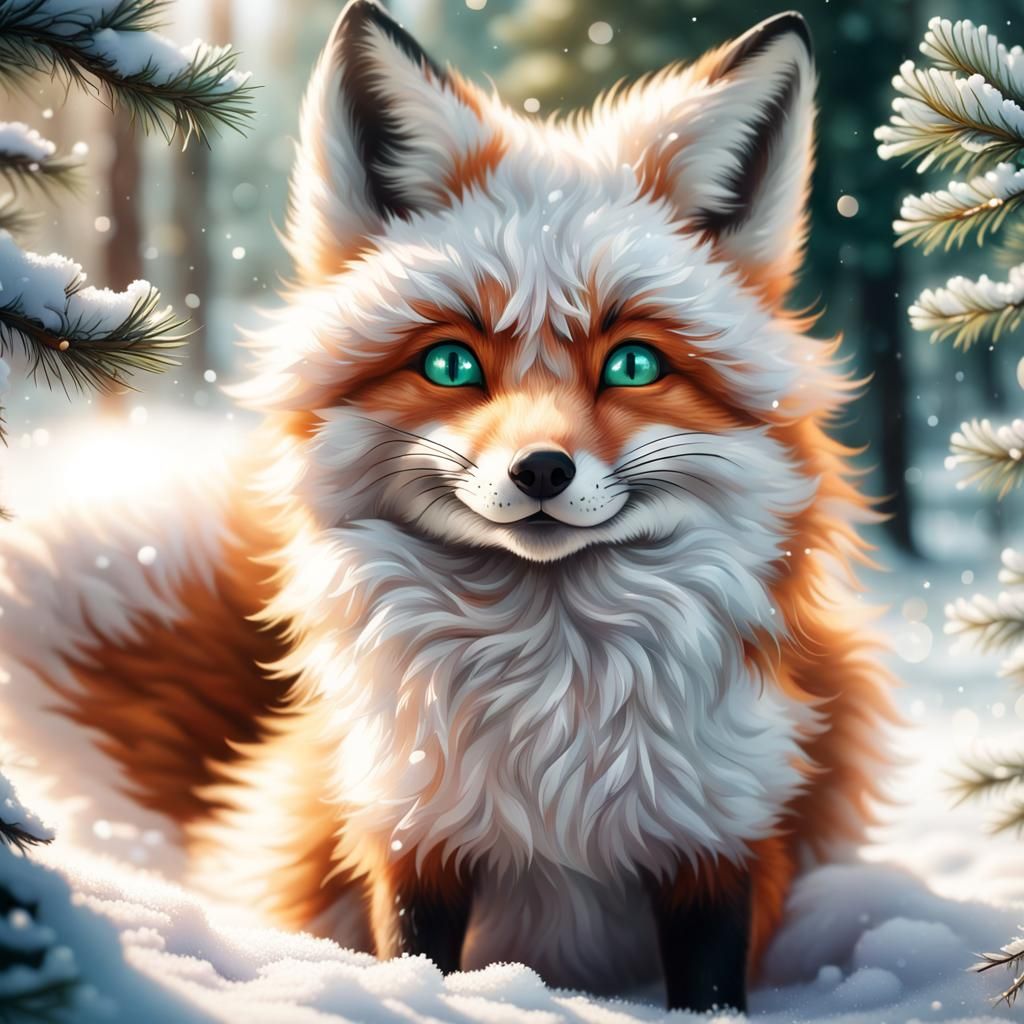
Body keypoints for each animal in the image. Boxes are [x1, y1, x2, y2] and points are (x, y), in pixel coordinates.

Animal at [0, 1, 896, 1013]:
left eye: (633, 364)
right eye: (450, 363)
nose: (541, 470)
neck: (552, 720)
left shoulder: (723, 832)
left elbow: (711, 983)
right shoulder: (411, 830)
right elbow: (418, 958)